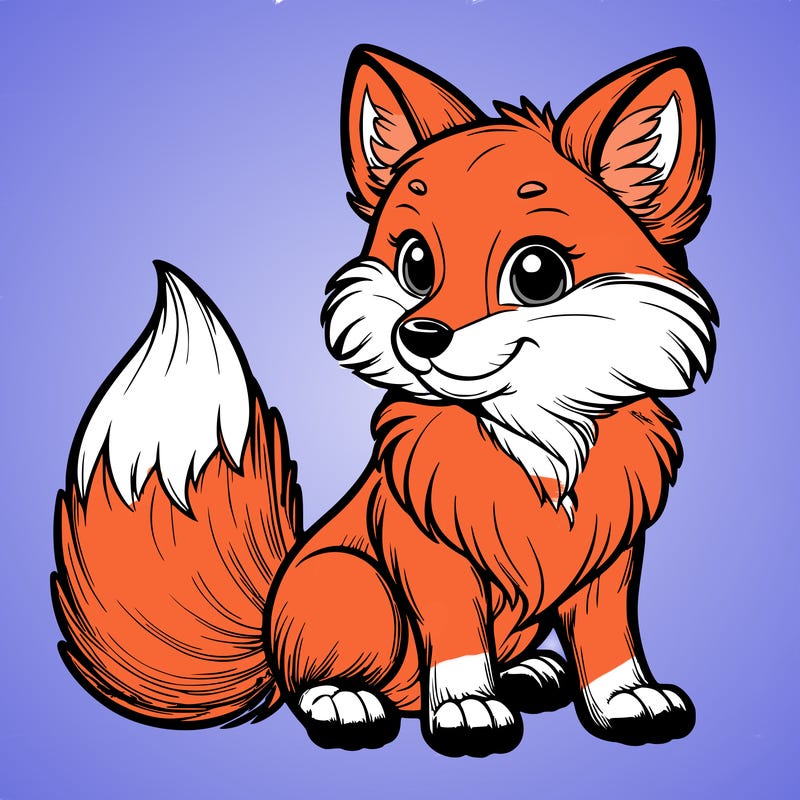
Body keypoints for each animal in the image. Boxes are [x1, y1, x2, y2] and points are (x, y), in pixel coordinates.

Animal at [53, 45, 716, 757]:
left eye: (536, 273)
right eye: (416, 264)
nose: (419, 334)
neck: (535, 436)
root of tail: (267, 626)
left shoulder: (612, 556)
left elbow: (608, 637)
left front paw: (625, 698)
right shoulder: (426, 551)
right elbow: (456, 640)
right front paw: (467, 707)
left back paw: (526, 672)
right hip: (352, 582)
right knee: (313, 682)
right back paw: (347, 701)